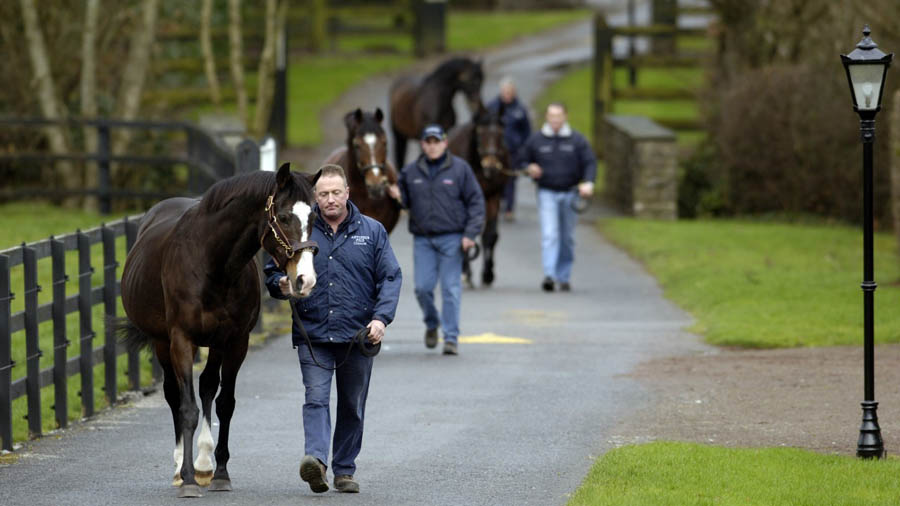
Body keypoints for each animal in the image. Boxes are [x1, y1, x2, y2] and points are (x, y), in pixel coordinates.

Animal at [114, 164, 320, 496]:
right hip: (162, 342)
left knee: (208, 386)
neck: (213, 264)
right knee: (174, 394)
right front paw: (187, 479)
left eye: (314, 215)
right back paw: (179, 467)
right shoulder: (181, 340)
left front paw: (220, 472)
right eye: (284, 216)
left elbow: (225, 403)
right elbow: (187, 408)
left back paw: (203, 464)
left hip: (214, 344)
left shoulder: (235, 342)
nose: (305, 279)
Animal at [446, 103, 510, 288]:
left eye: (501, 133)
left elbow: (490, 235)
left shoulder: (493, 196)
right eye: (481, 133)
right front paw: (465, 273)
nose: (492, 166)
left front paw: (488, 274)